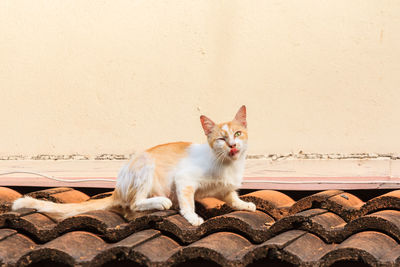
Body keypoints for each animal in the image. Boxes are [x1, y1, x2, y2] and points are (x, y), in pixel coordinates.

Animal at [13, 106, 256, 226]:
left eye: (237, 134)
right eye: (221, 139)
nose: (233, 145)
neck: (227, 164)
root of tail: (117, 189)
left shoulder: (225, 188)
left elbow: (232, 197)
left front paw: (244, 204)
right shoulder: (184, 180)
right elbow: (188, 202)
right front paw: (193, 217)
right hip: (145, 165)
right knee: (133, 205)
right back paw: (161, 202)